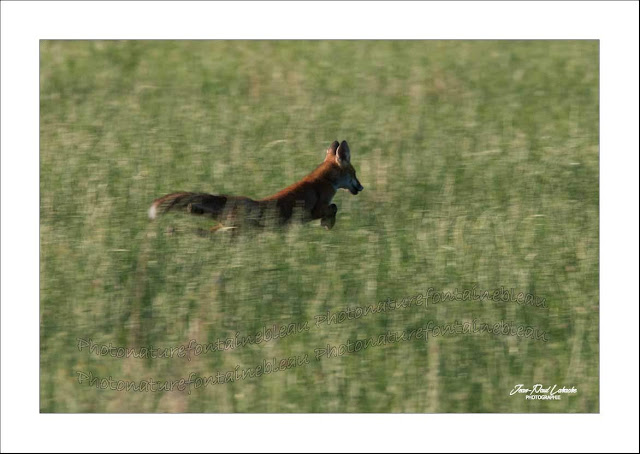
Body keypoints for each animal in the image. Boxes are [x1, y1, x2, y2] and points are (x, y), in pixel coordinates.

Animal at [147, 139, 362, 231]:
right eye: (355, 174)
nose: (361, 188)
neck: (324, 180)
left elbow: (334, 207)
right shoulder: (314, 209)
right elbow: (333, 207)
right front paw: (328, 224)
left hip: (230, 229)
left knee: (204, 225)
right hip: (235, 229)